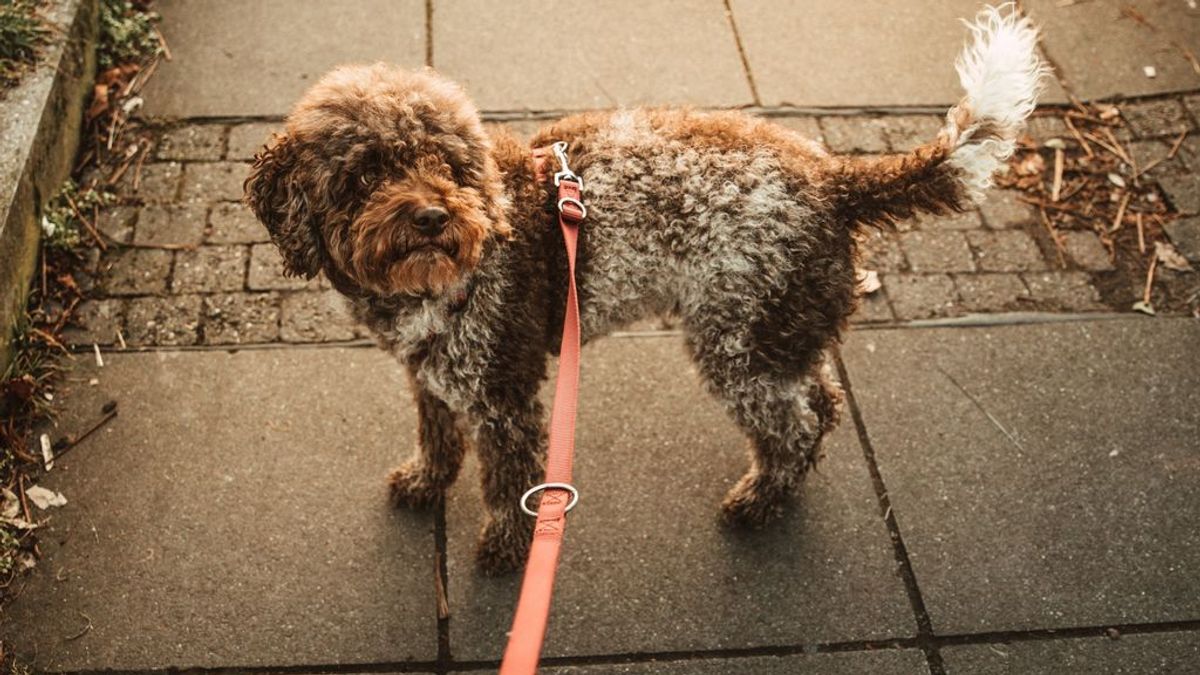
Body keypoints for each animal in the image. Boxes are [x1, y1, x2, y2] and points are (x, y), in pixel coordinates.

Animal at [246, 6, 1051, 571]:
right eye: (364, 174)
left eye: (444, 161)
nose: (433, 216)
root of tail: (834, 178)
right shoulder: (432, 374)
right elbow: (437, 434)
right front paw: (423, 481)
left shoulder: (504, 397)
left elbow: (507, 483)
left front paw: (505, 552)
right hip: (781, 324)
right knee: (820, 399)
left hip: (739, 340)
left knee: (791, 423)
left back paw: (758, 501)